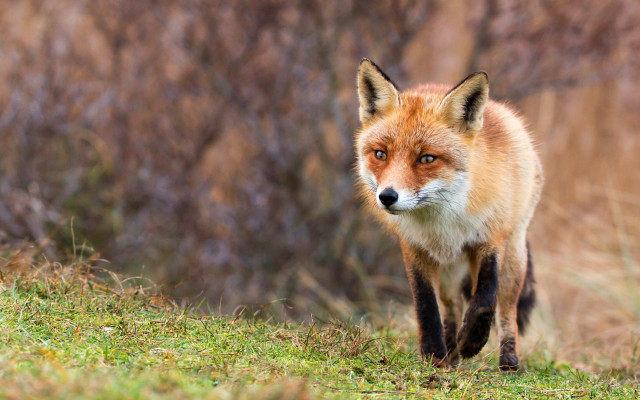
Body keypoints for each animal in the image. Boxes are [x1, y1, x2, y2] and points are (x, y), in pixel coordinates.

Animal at [354, 59, 543, 371]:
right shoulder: (414, 248)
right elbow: (426, 306)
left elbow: (484, 300)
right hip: (450, 269)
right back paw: (451, 353)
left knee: (506, 311)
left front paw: (473, 341)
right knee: (453, 305)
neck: (442, 221)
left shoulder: (490, 239)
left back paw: (508, 362)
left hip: (514, 255)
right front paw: (433, 354)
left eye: (427, 158)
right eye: (381, 154)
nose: (387, 197)